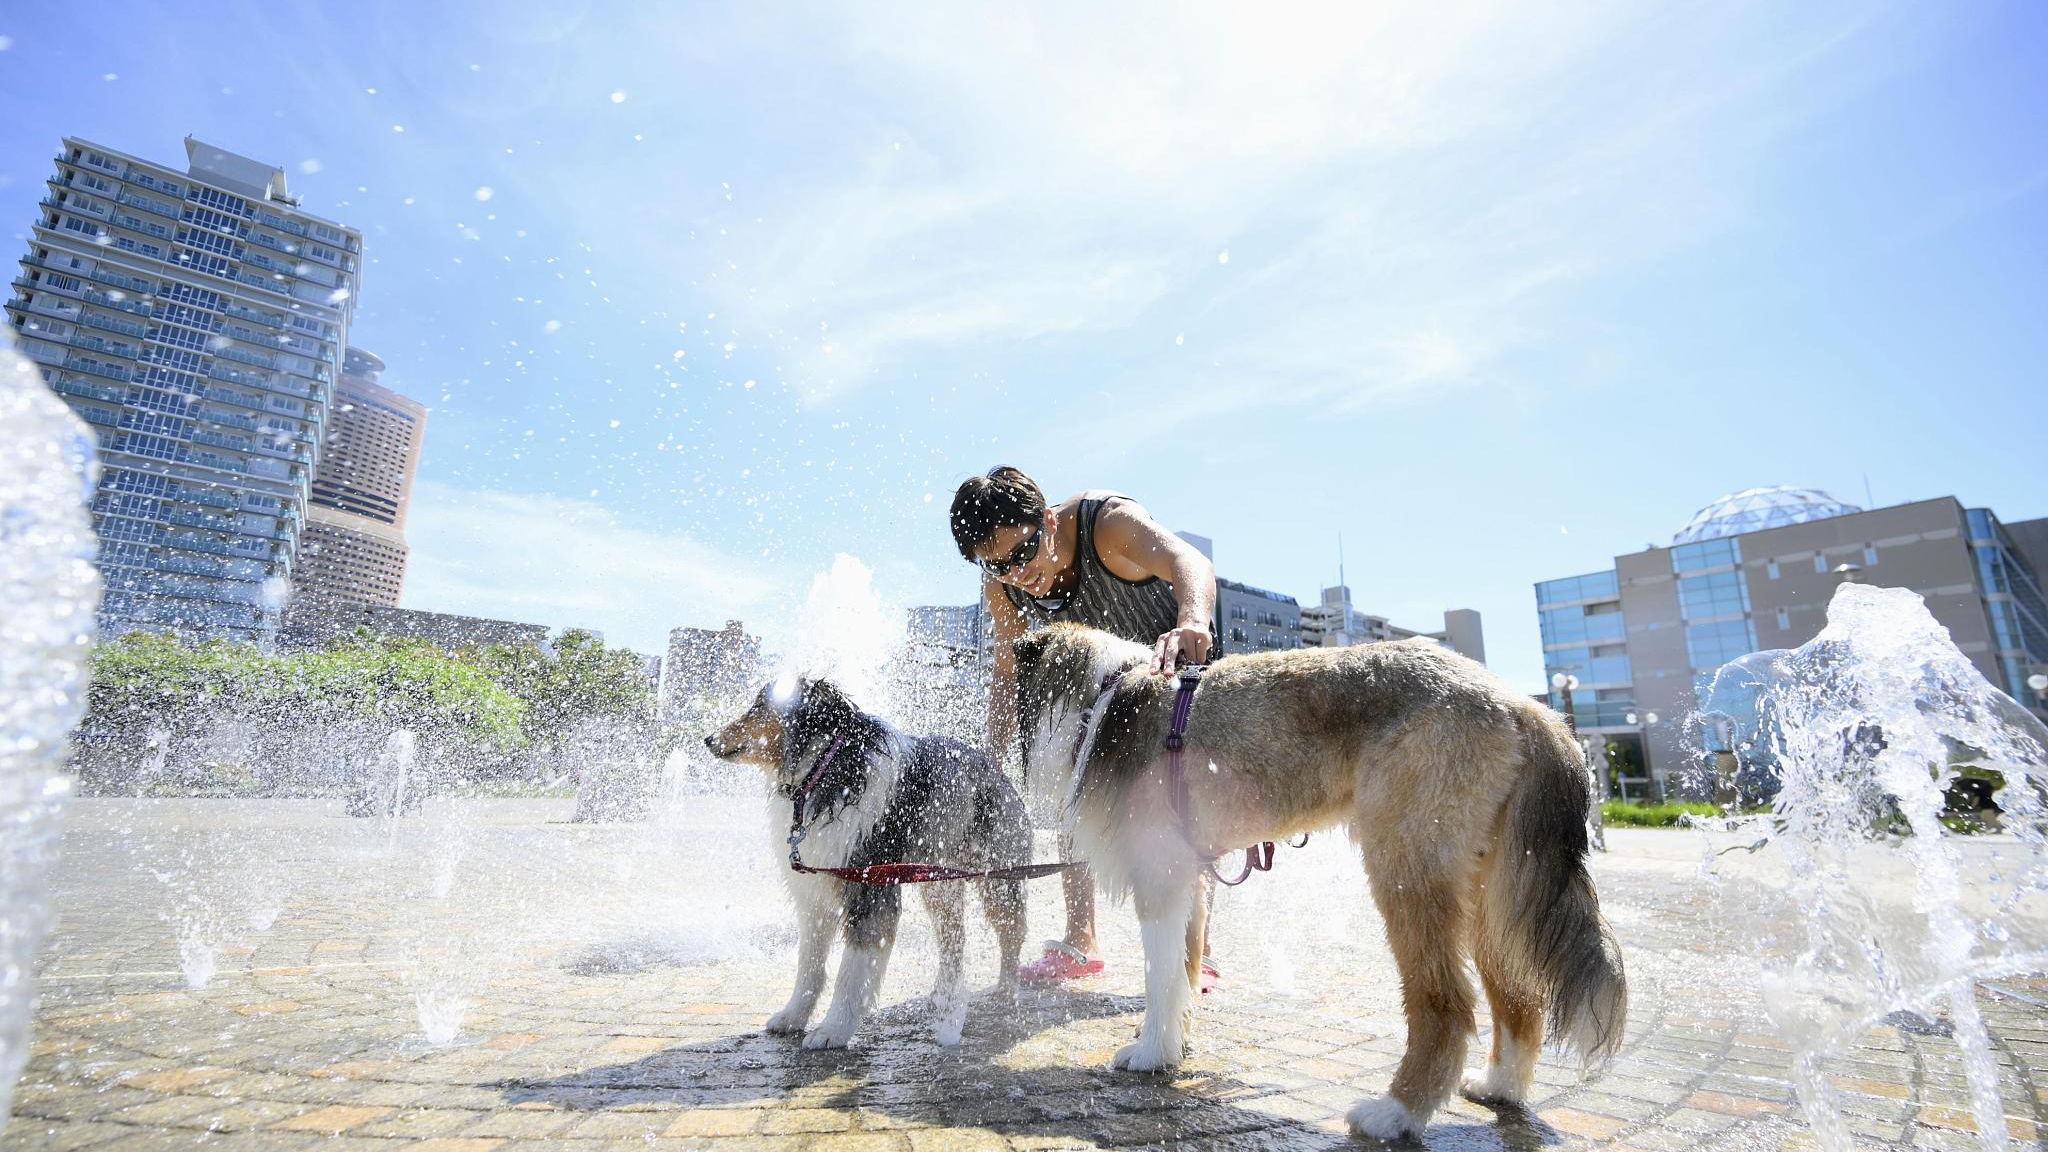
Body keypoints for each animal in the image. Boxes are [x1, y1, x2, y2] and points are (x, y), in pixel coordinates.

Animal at [708, 676, 1032, 1045]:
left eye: (759, 706)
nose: (708, 739)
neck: (826, 769)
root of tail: (995, 767)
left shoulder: (870, 887)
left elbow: (852, 970)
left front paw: (832, 1030)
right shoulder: (816, 889)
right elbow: (809, 964)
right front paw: (793, 1016)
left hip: (1000, 877)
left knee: (1011, 932)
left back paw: (1004, 992)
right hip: (937, 880)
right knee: (953, 935)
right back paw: (944, 995)